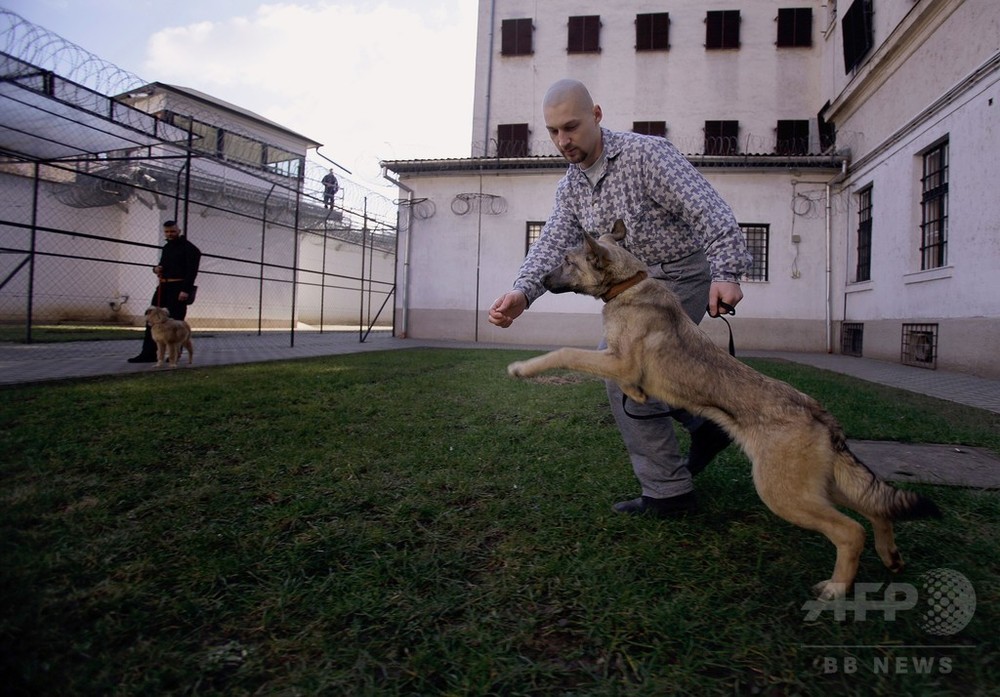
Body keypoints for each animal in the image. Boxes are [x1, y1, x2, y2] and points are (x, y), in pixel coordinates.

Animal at [508, 222, 936, 600]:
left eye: (567, 260)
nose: (541, 278)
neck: (628, 285)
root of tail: (817, 411)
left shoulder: (618, 361)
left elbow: (565, 352)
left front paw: (523, 368)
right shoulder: (622, 366)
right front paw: (637, 396)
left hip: (784, 493)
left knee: (851, 531)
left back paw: (836, 588)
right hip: (820, 485)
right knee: (876, 509)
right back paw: (890, 556)